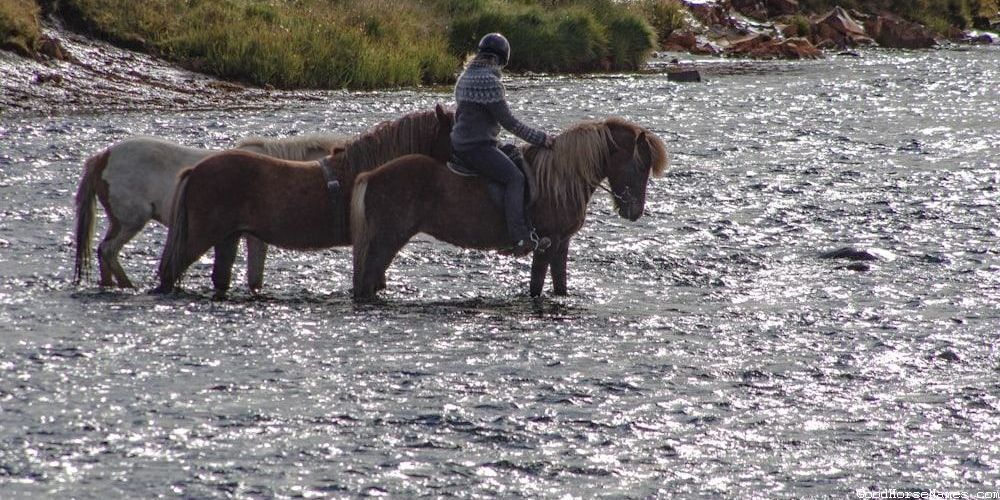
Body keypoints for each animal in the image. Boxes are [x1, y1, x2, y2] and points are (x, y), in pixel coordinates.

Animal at [74, 133, 348, 290]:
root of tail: (102, 157)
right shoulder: (255, 236)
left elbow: (254, 278)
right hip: (132, 221)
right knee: (109, 250)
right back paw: (129, 286)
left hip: (118, 222)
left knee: (104, 254)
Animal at [350, 117, 669, 301]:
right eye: (641, 165)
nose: (635, 212)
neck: (560, 178)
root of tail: (371, 176)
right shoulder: (546, 244)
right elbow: (536, 287)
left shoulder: (561, 245)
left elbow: (560, 285)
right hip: (387, 241)